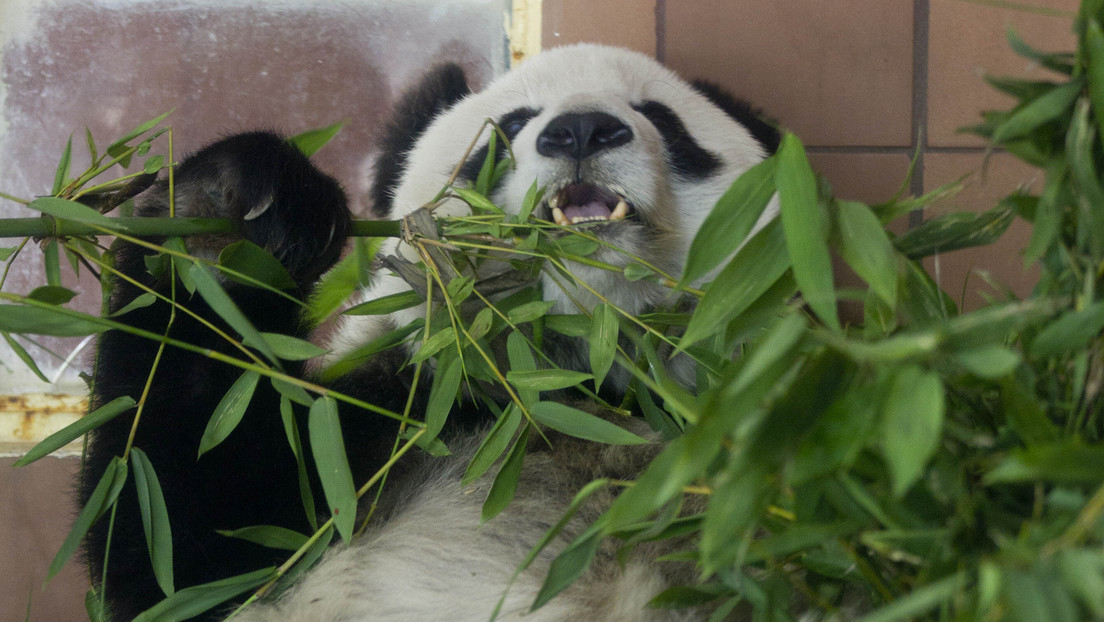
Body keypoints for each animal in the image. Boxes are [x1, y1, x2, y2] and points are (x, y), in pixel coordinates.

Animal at [80, 45, 777, 622]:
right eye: (510, 126)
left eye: (662, 117)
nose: (581, 129)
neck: (568, 380)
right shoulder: (384, 427)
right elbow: (177, 540)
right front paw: (231, 217)